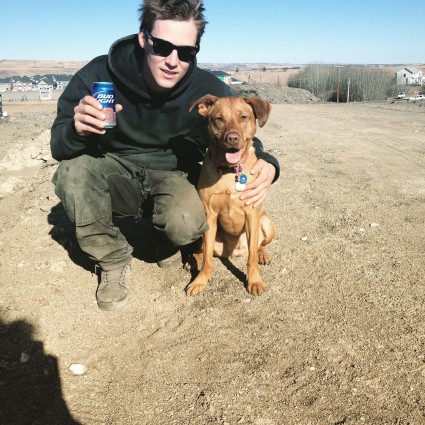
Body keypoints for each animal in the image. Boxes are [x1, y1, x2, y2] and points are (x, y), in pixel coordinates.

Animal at [186, 95, 276, 296]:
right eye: (218, 118)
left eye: (243, 117)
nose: (232, 138)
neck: (229, 171)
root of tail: (235, 252)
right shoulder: (210, 215)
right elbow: (207, 260)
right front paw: (200, 280)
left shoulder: (252, 214)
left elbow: (251, 258)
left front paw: (254, 281)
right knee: (204, 249)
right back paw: (194, 258)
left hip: (267, 223)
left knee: (258, 246)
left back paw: (262, 254)